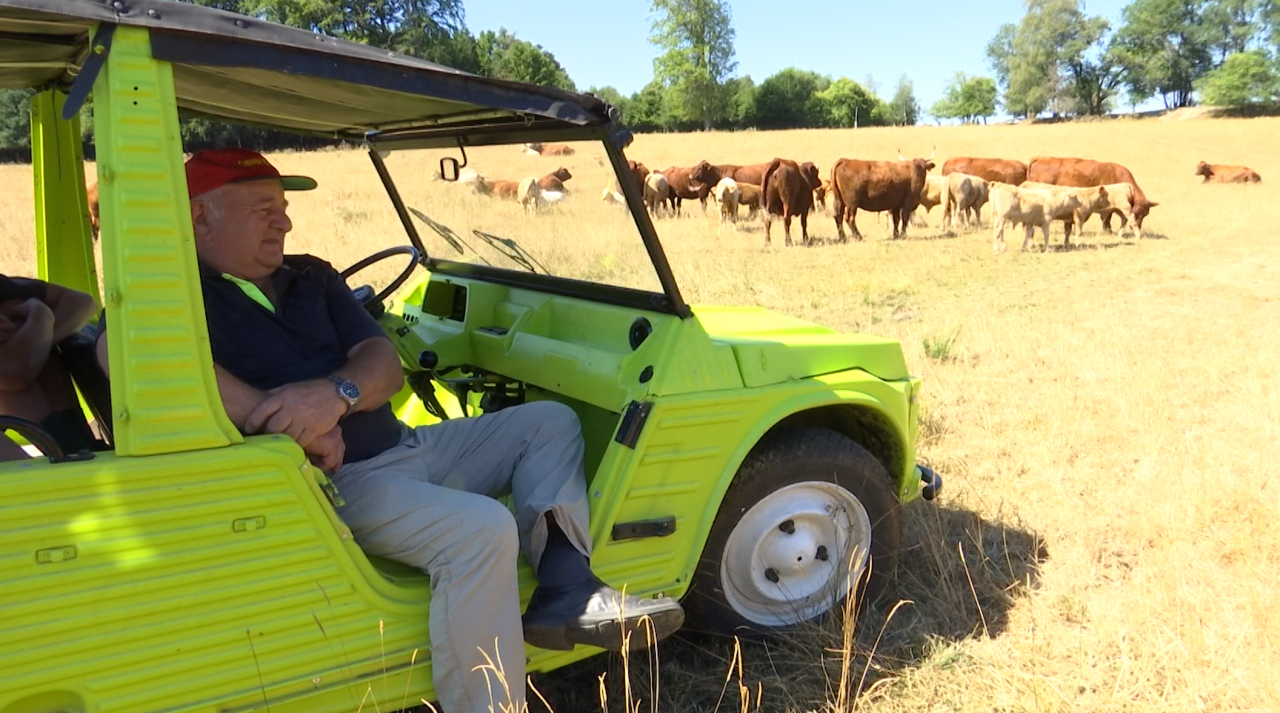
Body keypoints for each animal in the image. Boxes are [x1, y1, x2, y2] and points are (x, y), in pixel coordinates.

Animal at [1024, 155, 1157, 236]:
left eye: (1145, 215)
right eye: (1136, 213)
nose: (1138, 227)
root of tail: (1042, 158)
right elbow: (1106, 218)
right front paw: (1108, 231)